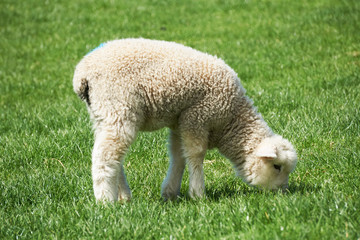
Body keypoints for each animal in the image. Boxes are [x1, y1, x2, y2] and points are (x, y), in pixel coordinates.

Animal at [73, 38, 298, 202]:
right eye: (277, 166)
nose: (283, 192)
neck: (231, 119)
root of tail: (82, 74)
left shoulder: (179, 122)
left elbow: (178, 155)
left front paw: (170, 193)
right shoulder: (197, 117)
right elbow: (196, 154)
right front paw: (198, 194)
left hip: (102, 114)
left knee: (115, 156)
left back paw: (124, 197)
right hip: (119, 108)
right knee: (105, 156)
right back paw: (105, 201)